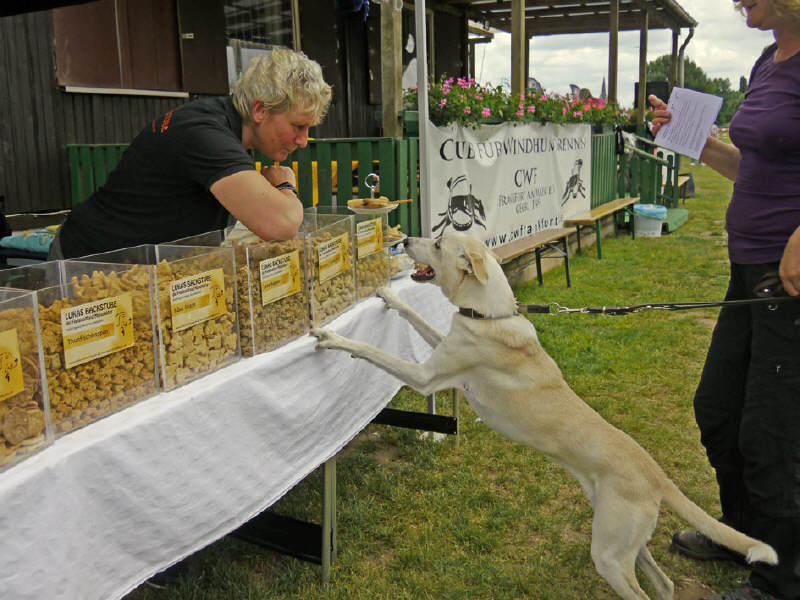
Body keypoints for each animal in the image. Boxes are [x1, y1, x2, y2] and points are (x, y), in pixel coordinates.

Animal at [311, 232, 778, 600]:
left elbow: (371, 351)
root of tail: (658, 475)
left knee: (643, 591)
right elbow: (413, 314)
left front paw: (331, 337)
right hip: (623, 538)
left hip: (609, 554)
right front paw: (389, 297)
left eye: (439, 243)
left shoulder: (427, 377)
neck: (489, 315)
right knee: (664, 585)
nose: (406, 239)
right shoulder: (442, 347)